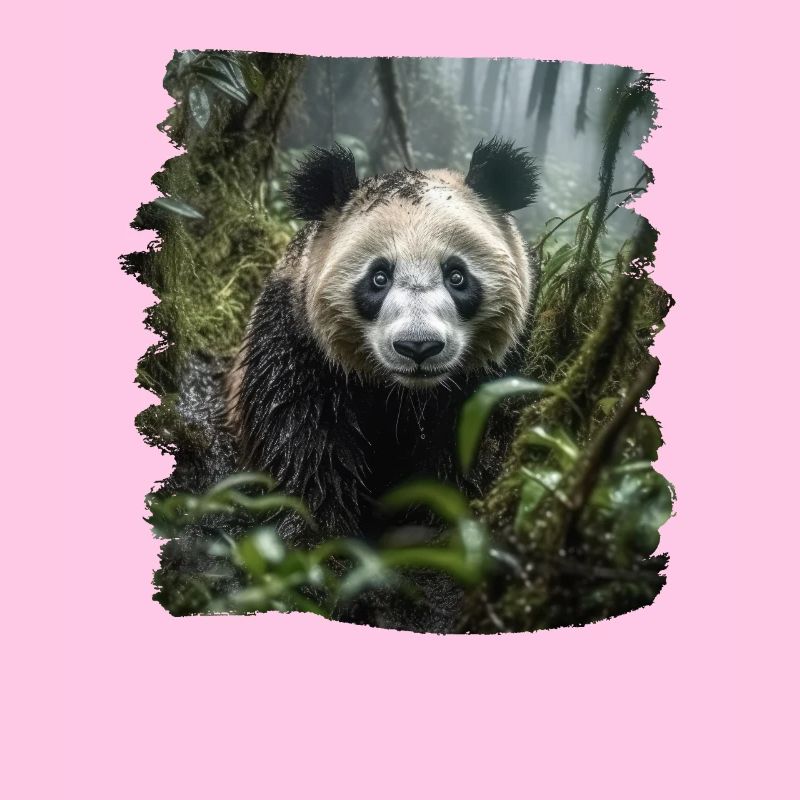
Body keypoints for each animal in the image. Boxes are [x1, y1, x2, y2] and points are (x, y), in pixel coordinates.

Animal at [226, 137, 539, 629]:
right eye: (378, 277)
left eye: (457, 276)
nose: (418, 347)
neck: (401, 393)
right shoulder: (298, 345)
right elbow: (304, 444)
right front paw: (320, 554)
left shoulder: (487, 374)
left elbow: (458, 449)